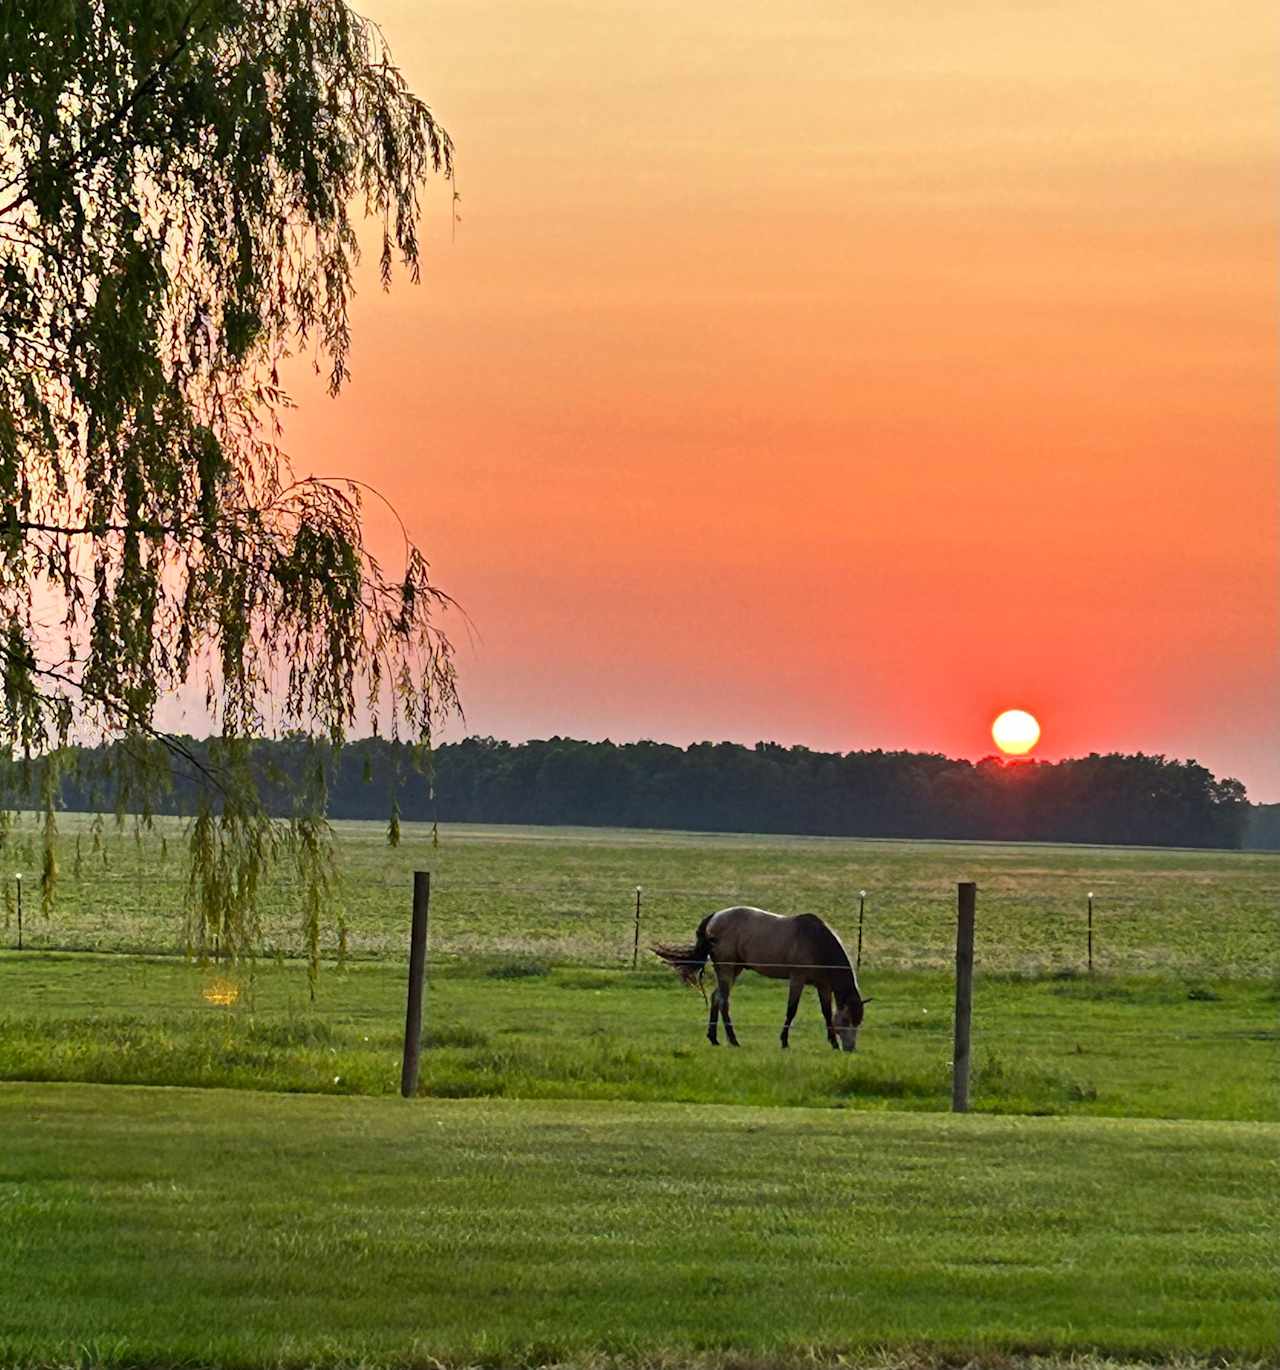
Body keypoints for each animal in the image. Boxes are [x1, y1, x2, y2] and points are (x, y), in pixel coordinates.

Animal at [652, 909, 871, 1046]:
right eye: (846, 1020)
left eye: (858, 1022)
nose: (850, 1048)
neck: (817, 942)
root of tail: (714, 917)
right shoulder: (797, 978)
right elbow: (791, 1010)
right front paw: (784, 1041)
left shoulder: (823, 985)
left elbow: (826, 1012)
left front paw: (832, 1043)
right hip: (726, 968)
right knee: (723, 1000)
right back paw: (733, 1040)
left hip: (735, 969)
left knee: (716, 997)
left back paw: (714, 1038)